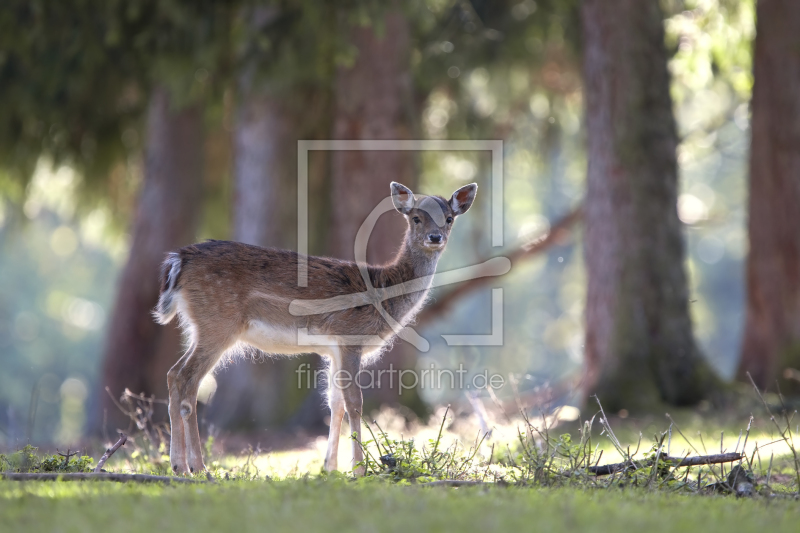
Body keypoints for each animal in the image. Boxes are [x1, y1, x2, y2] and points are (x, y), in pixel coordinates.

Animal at [154, 180, 478, 474]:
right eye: (416, 218)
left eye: (449, 218)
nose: (435, 237)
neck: (384, 293)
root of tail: (178, 260)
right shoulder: (350, 337)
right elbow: (355, 402)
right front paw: (359, 469)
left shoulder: (333, 349)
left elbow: (334, 404)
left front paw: (330, 469)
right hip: (218, 323)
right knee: (187, 381)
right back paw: (198, 468)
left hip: (200, 326)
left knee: (172, 374)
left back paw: (178, 465)